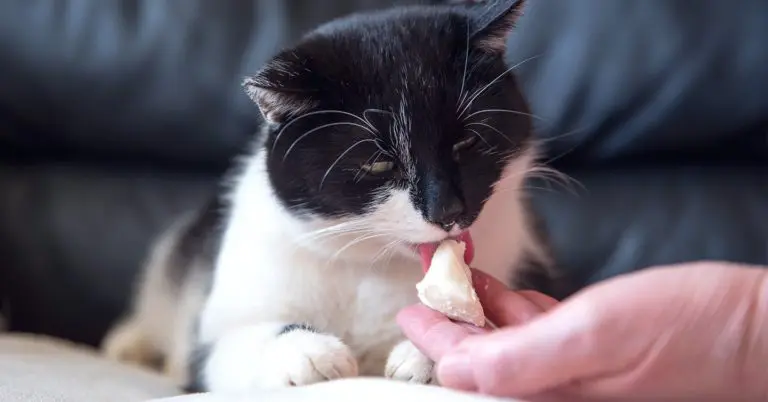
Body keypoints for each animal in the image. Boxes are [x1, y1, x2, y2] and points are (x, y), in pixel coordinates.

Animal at [103, 0, 560, 392]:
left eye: (467, 142)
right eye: (378, 163)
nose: (447, 211)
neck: (373, 265)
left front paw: (425, 354)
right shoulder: (216, 333)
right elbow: (234, 342)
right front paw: (308, 352)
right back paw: (128, 345)